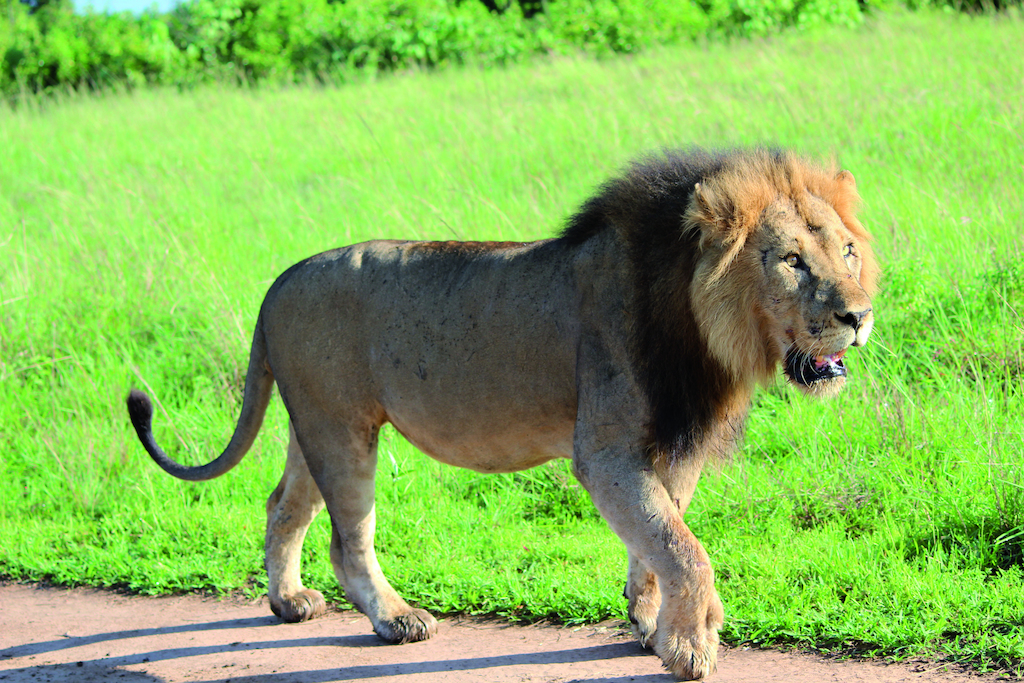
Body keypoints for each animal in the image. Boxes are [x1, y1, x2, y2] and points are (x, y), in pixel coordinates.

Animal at [125, 147, 880, 679]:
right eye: (791, 261)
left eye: (846, 250)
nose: (860, 316)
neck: (702, 326)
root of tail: (278, 280)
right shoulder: (605, 452)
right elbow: (683, 547)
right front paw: (691, 645)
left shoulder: (669, 447)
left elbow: (658, 538)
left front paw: (649, 623)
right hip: (341, 431)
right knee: (348, 538)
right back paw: (396, 620)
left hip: (315, 422)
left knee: (283, 506)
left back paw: (288, 603)